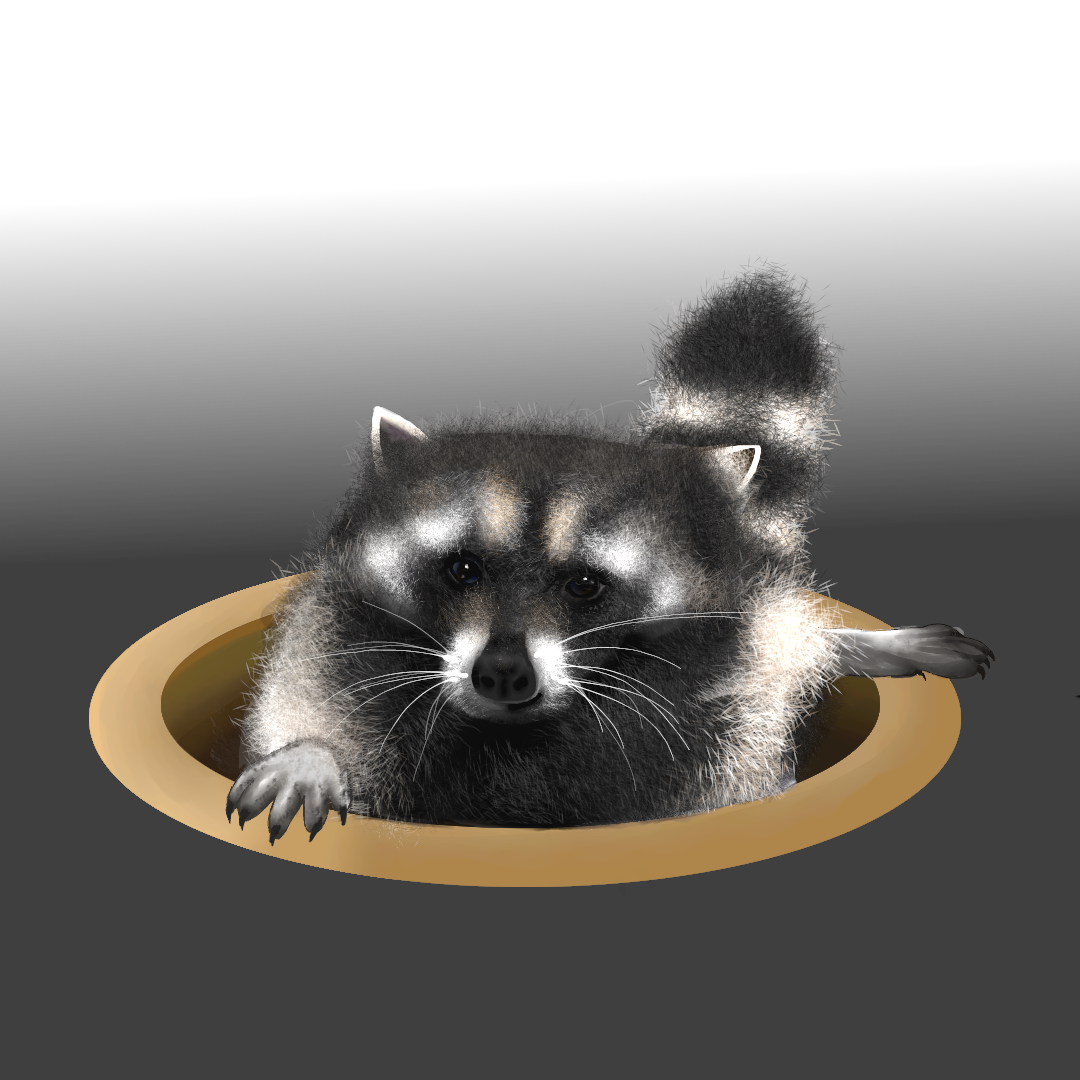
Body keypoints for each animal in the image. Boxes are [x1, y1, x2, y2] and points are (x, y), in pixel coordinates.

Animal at [225, 260, 993, 843]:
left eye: (585, 586)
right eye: (463, 569)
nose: (502, 674)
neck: (522, 734)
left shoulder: (721, 712)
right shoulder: (338, 641)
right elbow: (310, 708)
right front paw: (310, 756)